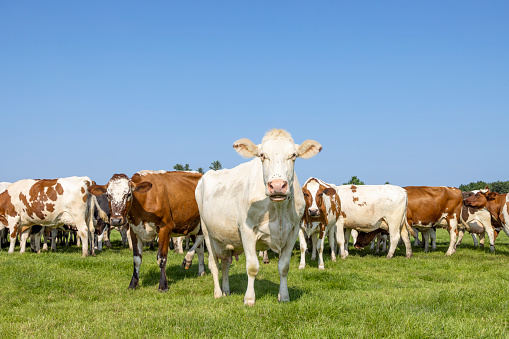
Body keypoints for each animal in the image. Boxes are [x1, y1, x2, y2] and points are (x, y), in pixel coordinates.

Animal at [195, 129, 320, 306]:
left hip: (226, 239)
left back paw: (226, 290)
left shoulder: (293, 231)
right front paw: (249, 298)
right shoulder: (246, 230)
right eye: (262, 155)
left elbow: (284, 267)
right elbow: (252, 267)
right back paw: (218, 293)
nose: (277, 186)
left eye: (293, 155)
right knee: (214, 264)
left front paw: (284, 296)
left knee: (225, 264)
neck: (278, 209)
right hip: (207, 233)